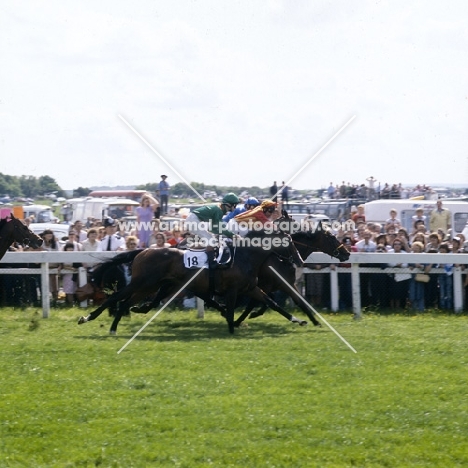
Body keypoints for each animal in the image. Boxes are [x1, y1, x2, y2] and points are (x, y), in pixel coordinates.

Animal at [78, 229, 306, 332]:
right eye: (290, 242)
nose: (300, 260)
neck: (245, 256)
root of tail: (143, 251)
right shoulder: (232, 290)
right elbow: (231, 310)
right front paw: (231, 328)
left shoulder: (250, 288)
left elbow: (273, 303)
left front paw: (298, 319)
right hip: (141, 283)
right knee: (115, 298)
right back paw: (88, 318)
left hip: (149, 286)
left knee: (126, 302)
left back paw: (115, 325)